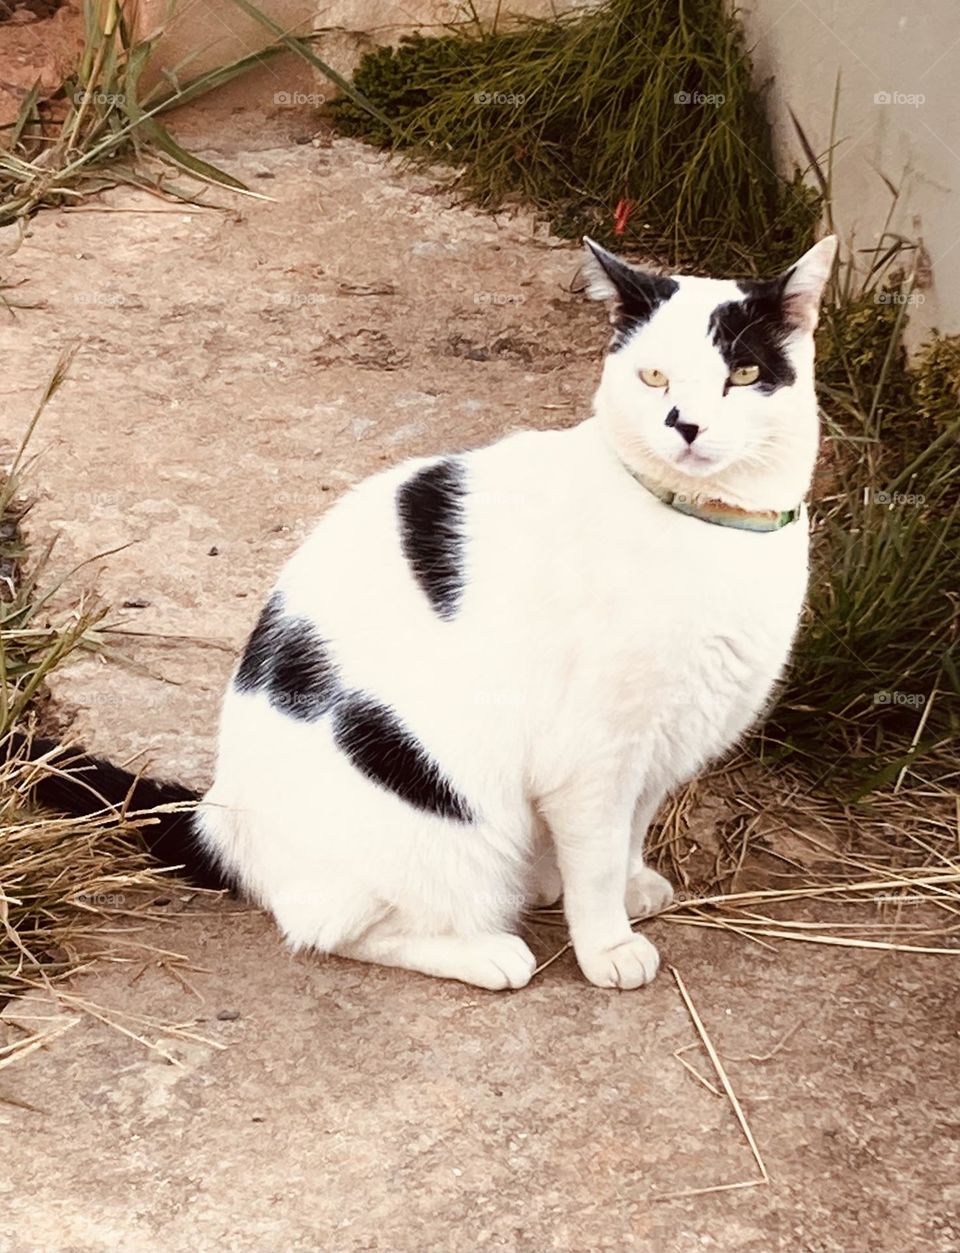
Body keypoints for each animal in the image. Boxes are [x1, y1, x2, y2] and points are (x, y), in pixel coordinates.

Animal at [22, 235, 837, 992]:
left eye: (744, 374)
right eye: (654, 376)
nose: (685, 424)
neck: (711, 528)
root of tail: (222, 816)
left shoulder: (664, 739)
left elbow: (630, 831)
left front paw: (631, 885)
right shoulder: (596, 755)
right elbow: (599, 857)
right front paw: (607, 942)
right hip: (437, 815)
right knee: (328, 925)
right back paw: (490, 950)